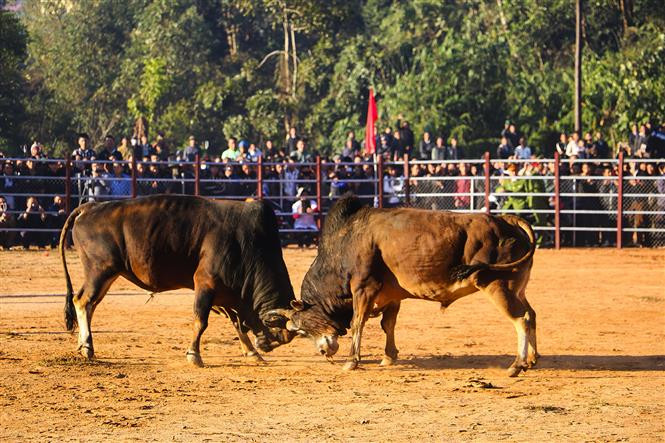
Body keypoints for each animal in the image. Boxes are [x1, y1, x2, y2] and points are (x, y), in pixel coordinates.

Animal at [59, 194, 295, 367]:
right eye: (275, 327)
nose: (270, 343)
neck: (247, 243)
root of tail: (90, 207)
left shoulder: (228, 293)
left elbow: (237, 324)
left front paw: (252, 352)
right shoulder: (206, 283)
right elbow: (201, 321)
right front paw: (194, 355)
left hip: (107, 275)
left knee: (89, 304)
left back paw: (83, 344)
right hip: (100, 271)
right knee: (82, 301)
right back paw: (87, 346)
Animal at [267, 196, 538, 376]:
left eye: (302, 329)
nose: (324, 351)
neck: (345, 242)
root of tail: (506, 221)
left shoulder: (363, 288)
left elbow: (357, 323)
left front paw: (352, 361)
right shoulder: (391, 296)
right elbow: (388, 324)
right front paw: (389, 357)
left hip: (497, 285)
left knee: (521, 318)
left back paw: (517, 365)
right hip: (518, 288)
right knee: (532, 314)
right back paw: (533, 359)